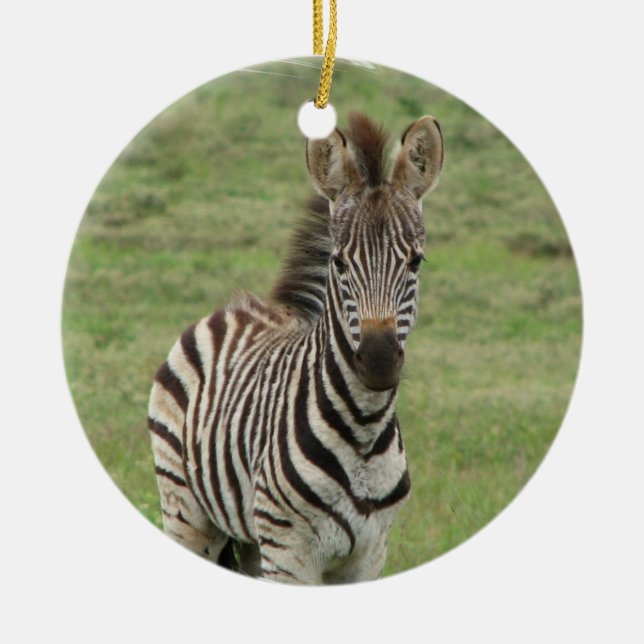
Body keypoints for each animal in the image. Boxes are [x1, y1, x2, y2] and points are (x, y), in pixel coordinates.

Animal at [147, 112, 444, 584]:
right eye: (339, 262)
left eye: (415, 261)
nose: (379, 362)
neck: (364, 431)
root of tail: (237, 306)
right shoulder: (290, 553)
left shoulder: (370, 554)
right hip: (186, 511)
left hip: (253, 538)